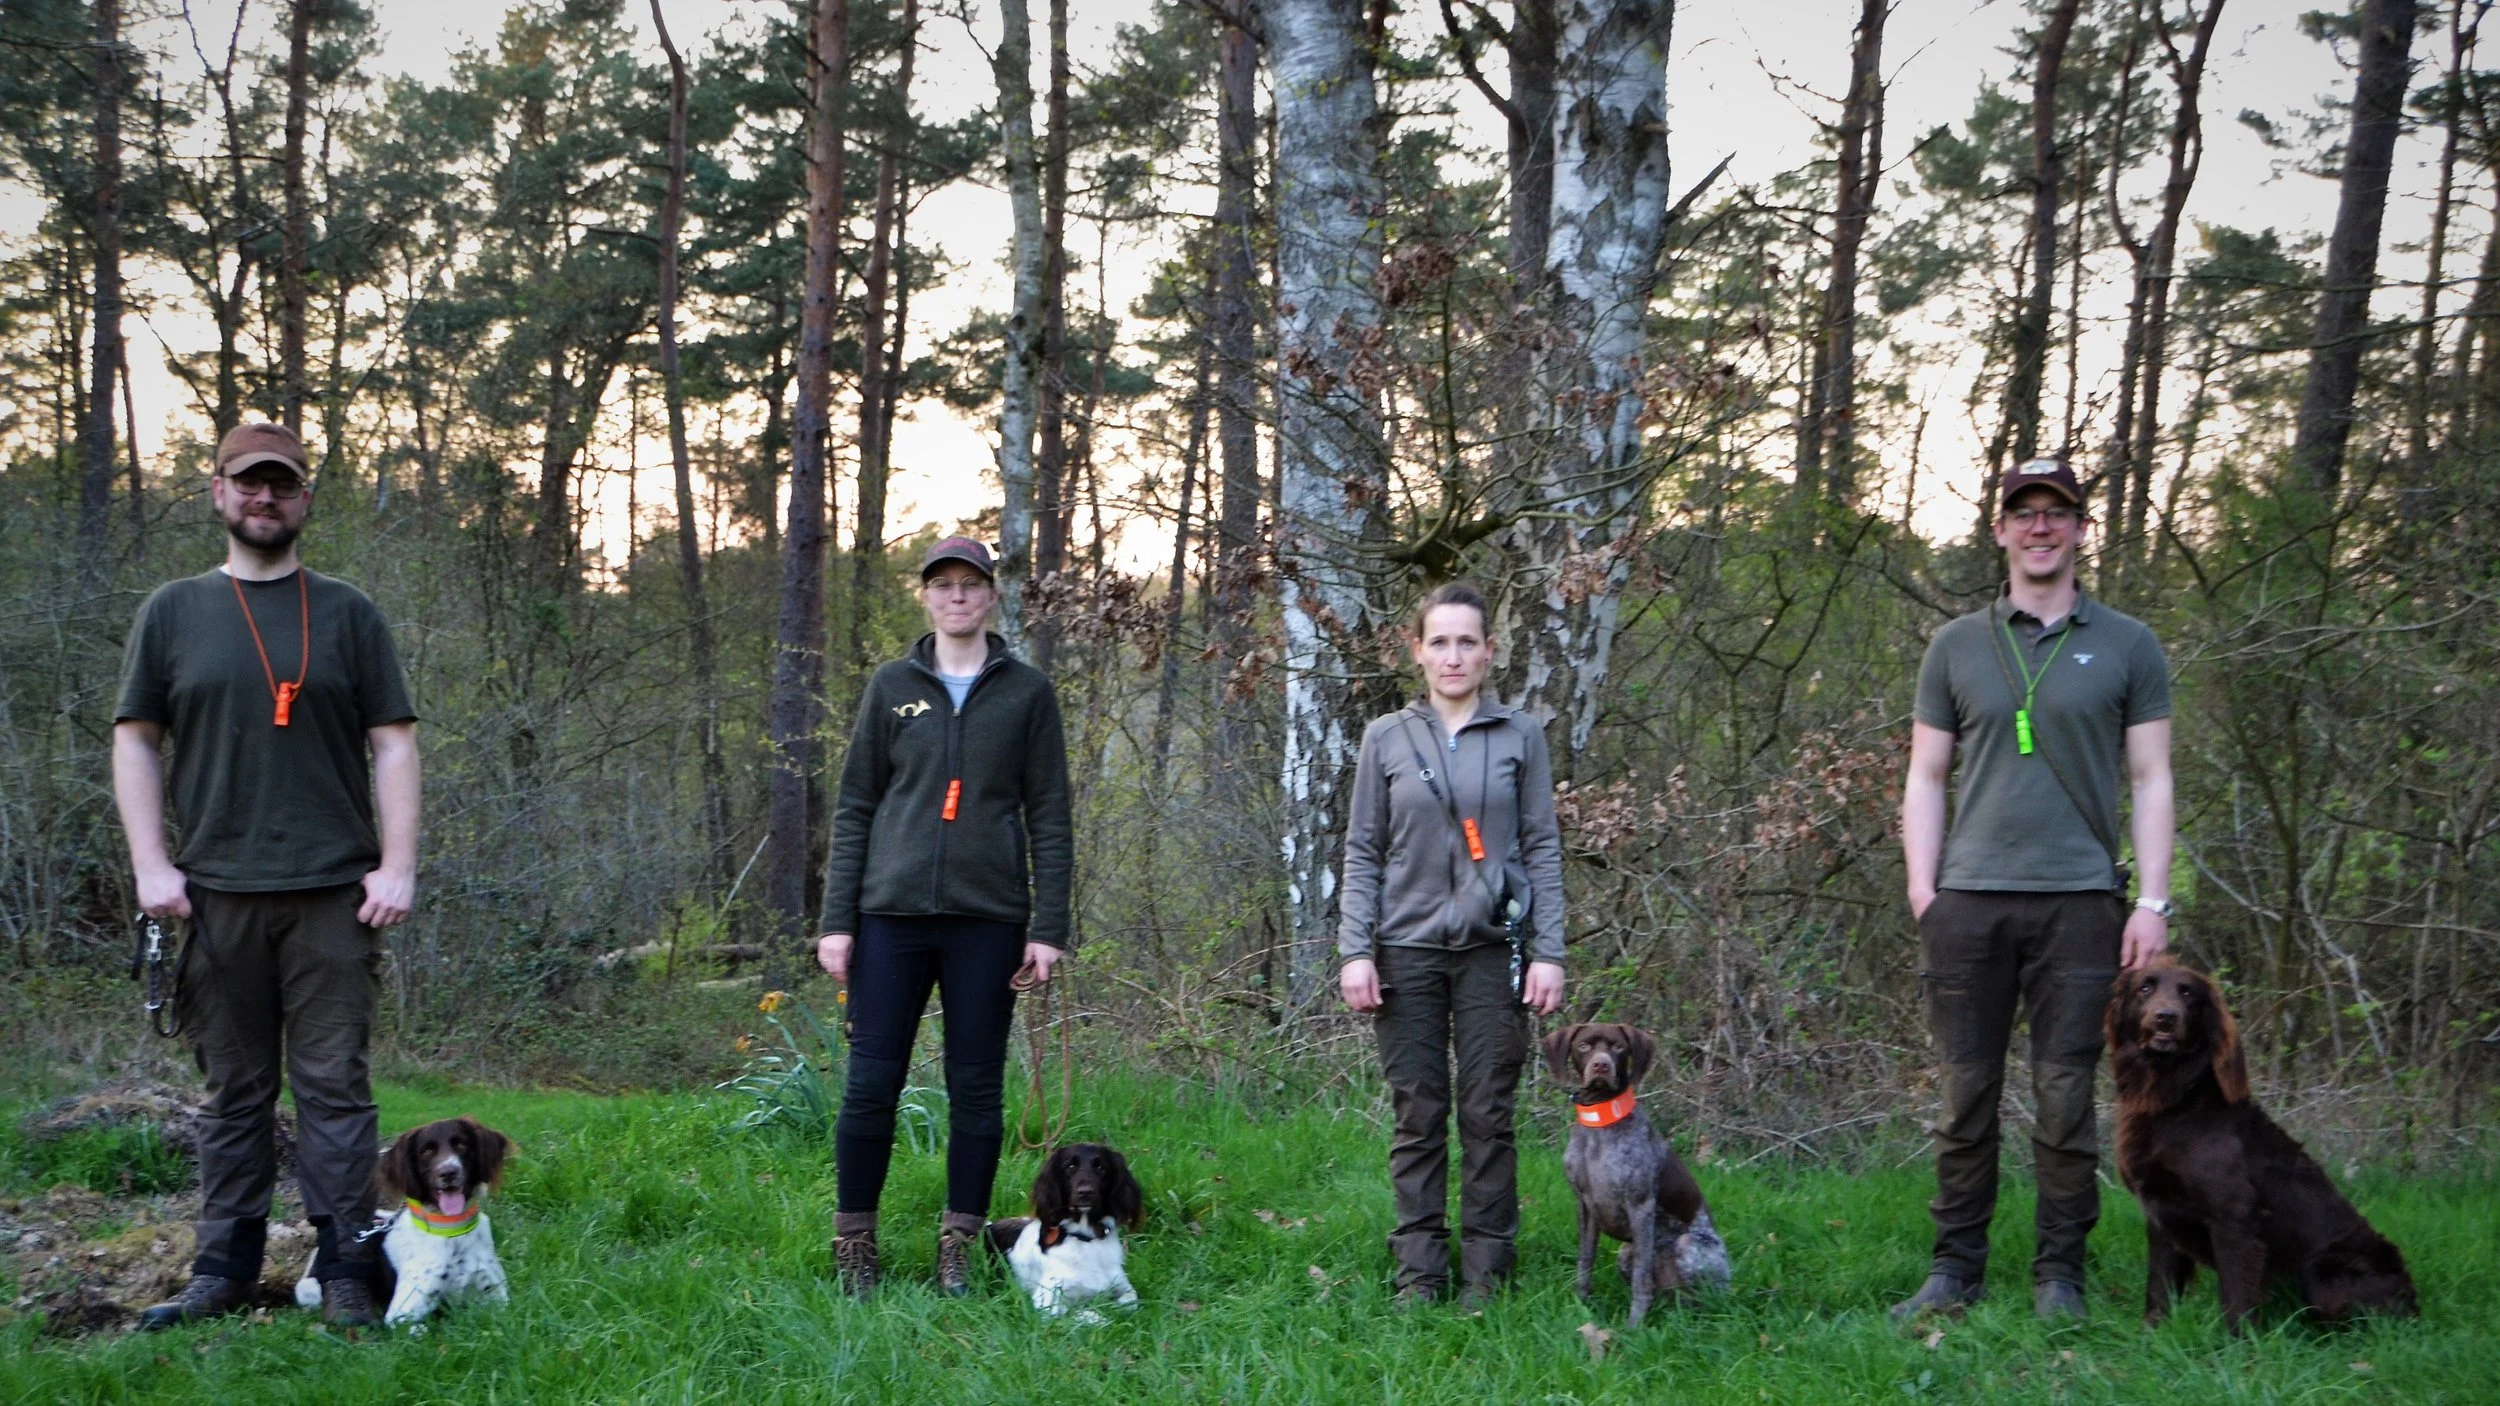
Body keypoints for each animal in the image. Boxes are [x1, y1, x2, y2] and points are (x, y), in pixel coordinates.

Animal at [295, 1116, 515, 1327]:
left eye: (461, 1145)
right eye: (426, 1151)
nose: (448, 1172)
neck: (450, 1231)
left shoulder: (496, 1296)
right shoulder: (401, 1314)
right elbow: (421, 1327)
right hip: (308, 1289)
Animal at [985, 1142, 1144, 1320]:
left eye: (1100, 1167)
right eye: (1070, 1166)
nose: (1085, 1192)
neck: (1084, 1238)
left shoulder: (1122, 1286)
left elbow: (1131, 1300)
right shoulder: (1046, 1302)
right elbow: (1078, 1312)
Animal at [1542, 1023, 1730, 1327]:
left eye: (1618, 1047)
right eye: (1584, 1046)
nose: (1601, 1065)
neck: (1600, 1126)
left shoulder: (1640, 1207)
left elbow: (1641, 1281)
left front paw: (1634, 1326)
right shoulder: (1585, 1207)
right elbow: (1585, 1261)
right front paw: (1580, 1305)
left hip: (1689, 1247)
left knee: (1702, 1299)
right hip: (1626, 1251)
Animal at [2107, 961, 2416, 1332]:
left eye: (2188, 993)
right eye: (2145, 988)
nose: (2166, 1017)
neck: (2174, 1101)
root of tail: (2413, 1300)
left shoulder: (2234, 1215)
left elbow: (2236, 1294)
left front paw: (2238, 1343)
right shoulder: (2161, 1213)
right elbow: (2159, 1284)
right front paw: (2152, 1332)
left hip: (2321, 1271)